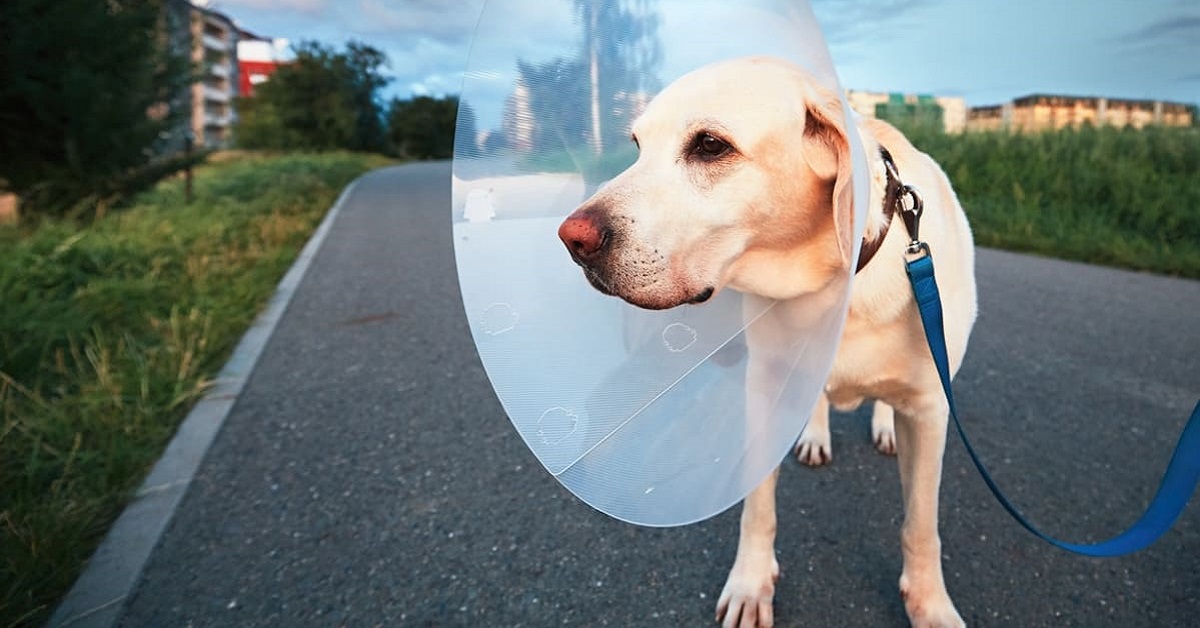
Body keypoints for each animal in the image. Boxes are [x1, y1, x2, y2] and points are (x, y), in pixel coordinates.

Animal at [556, 55, 979, 628]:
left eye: (710, 145)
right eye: (638, 145)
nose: (572, 240)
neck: (834, 287)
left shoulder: (932, 413)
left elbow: (921, 524)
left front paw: (931, 606)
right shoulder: (766, 390)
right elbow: (757, 509)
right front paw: (751, 583)